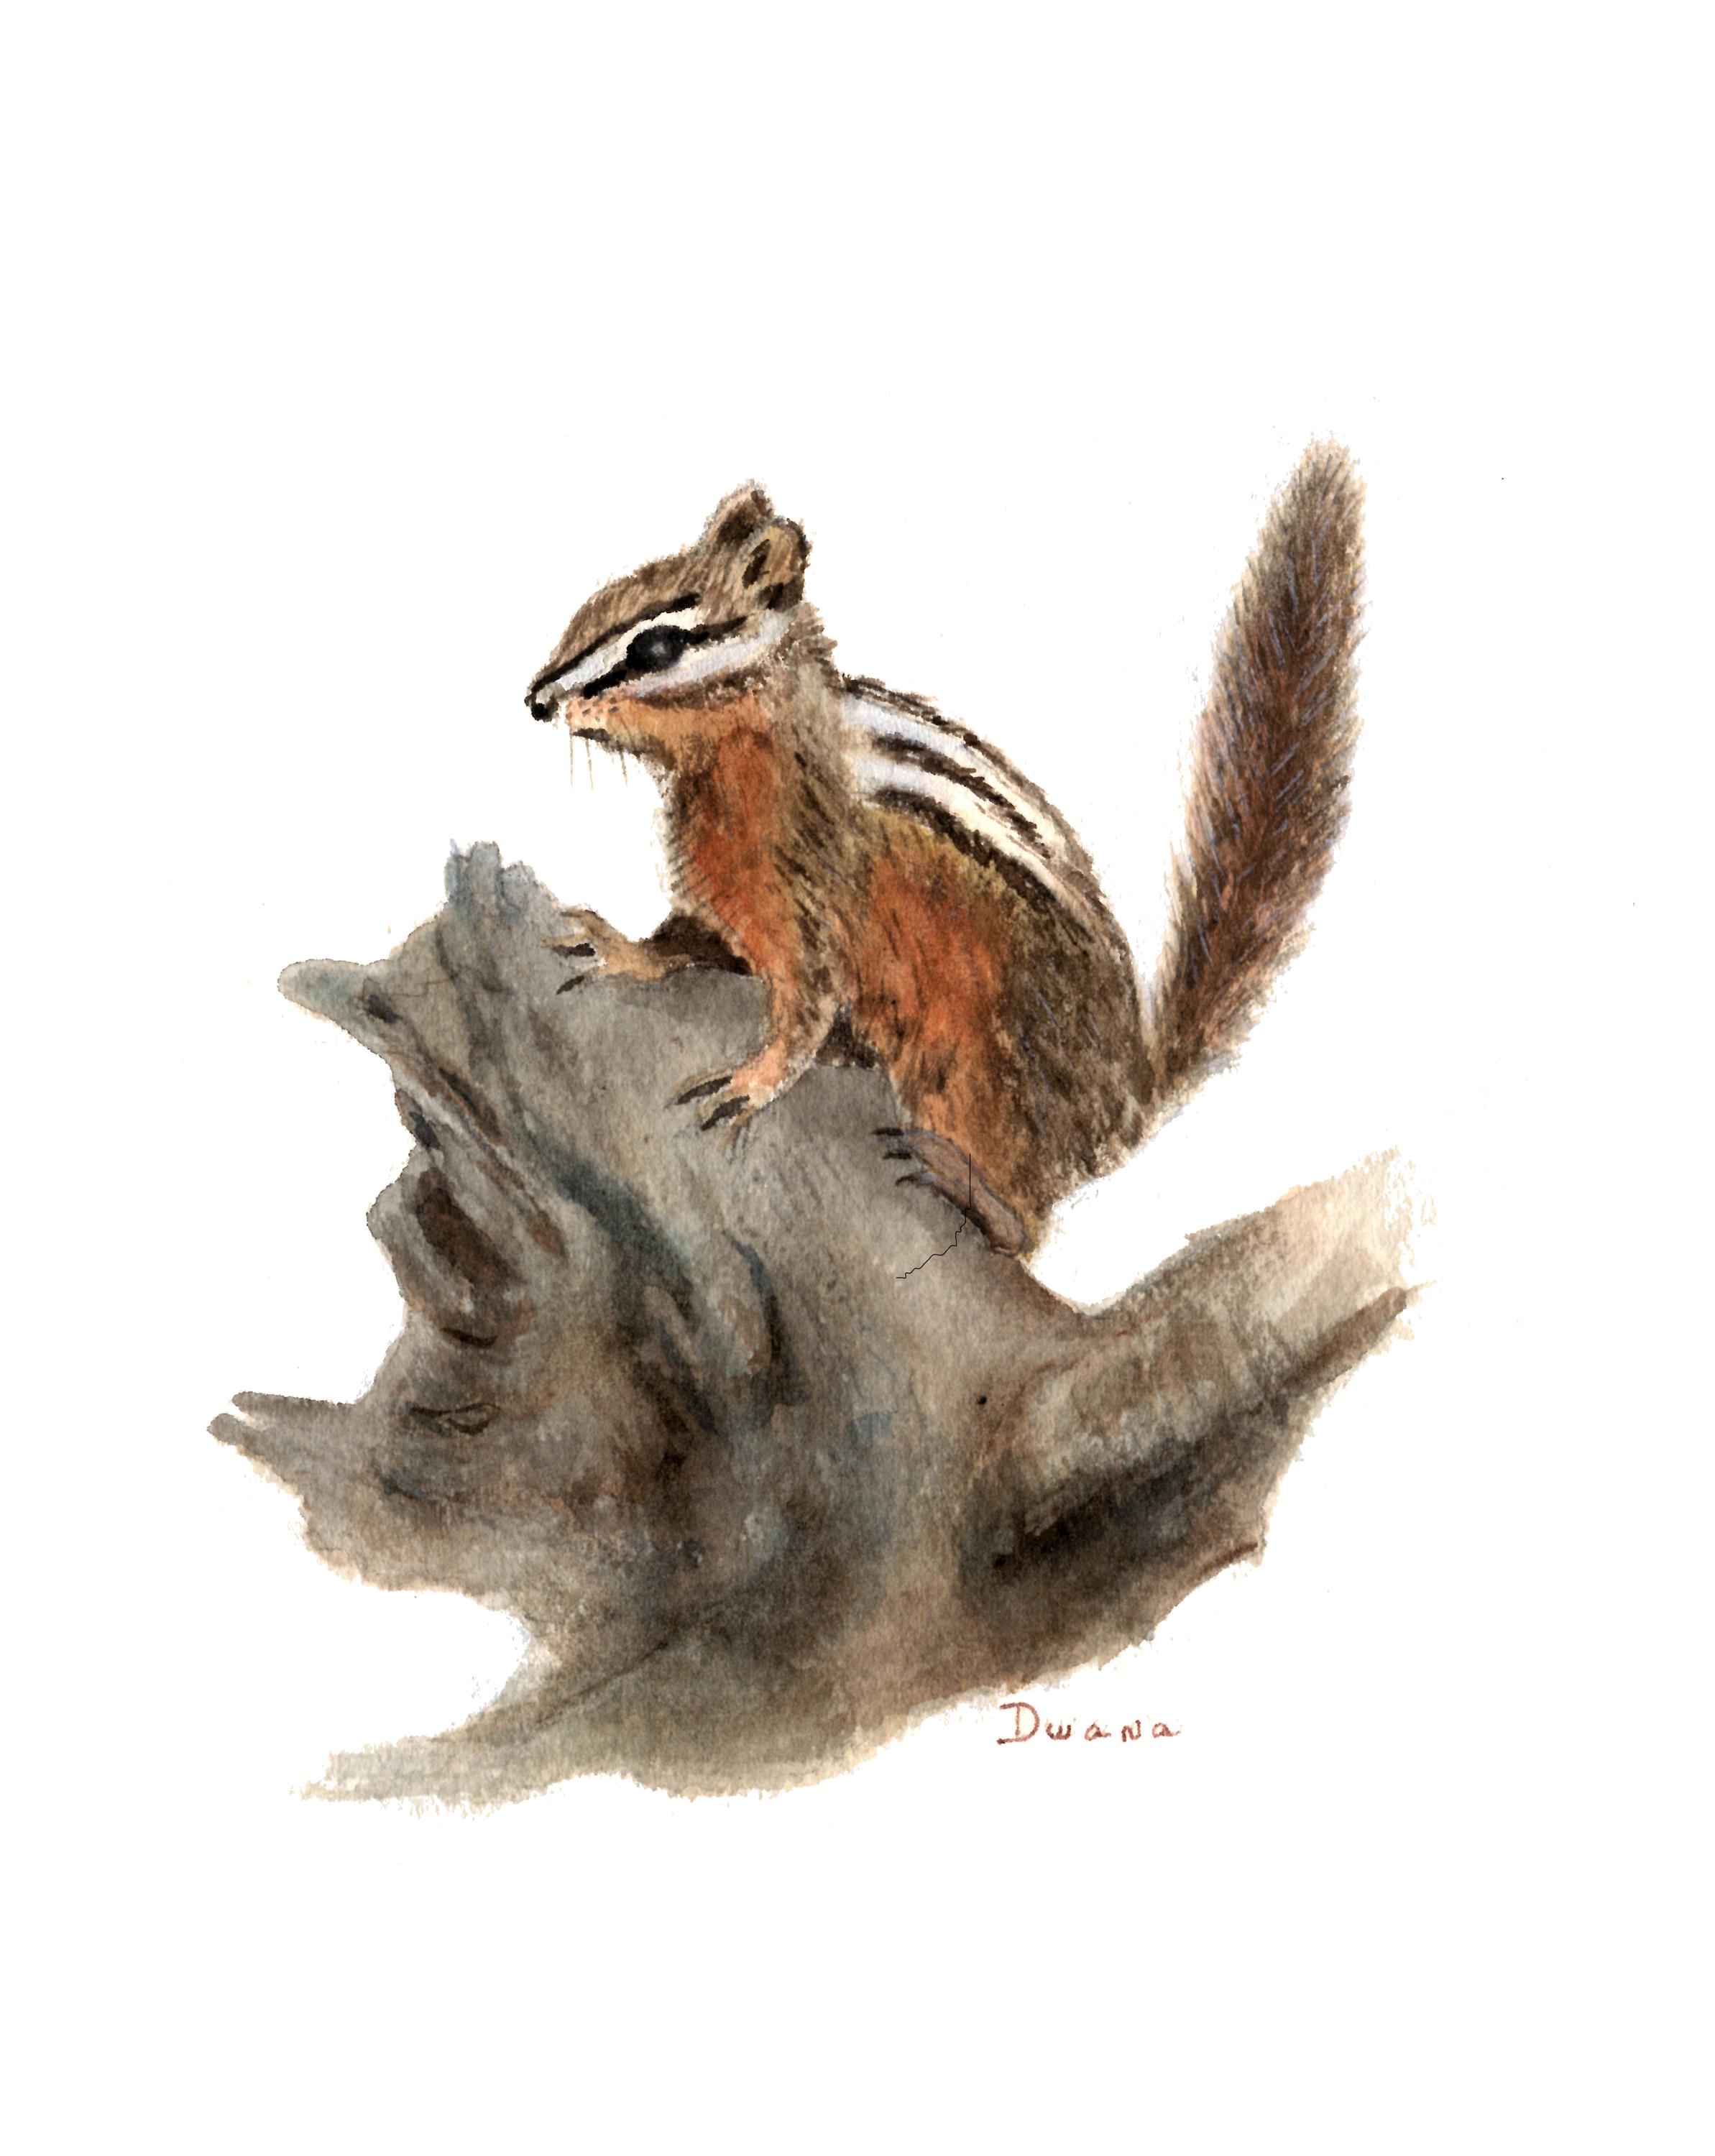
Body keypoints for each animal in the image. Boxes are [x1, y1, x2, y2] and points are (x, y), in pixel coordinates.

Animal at [524, 443, 1363, 1256]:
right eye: (602, 600)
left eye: (658, 645)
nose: (536, 700)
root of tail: (1123, 1109)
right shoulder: (730, 894)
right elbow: (687, 941)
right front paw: (624, 949)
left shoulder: (809, 892)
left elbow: (802, 1010)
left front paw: (753, 1081)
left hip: (980, 1074)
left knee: (1026, 1225)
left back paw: (964, 1187)